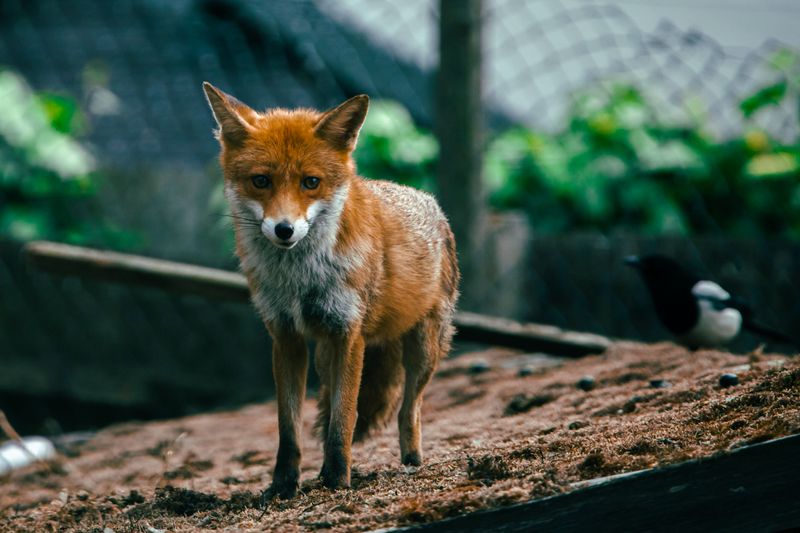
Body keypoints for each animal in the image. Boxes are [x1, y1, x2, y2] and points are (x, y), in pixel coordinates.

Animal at [202, 82, 459, 498]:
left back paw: (411, 460)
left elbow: (345, 418)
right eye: (261, 181)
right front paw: (284, 486)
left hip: (424, 350)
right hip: (324, 357)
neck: (299, 280)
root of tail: (427, 199)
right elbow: (288, 427)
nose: (284, 230)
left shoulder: (348, 334)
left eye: (311, 182)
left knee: (410, 410)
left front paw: (338, 479)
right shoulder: (286, 337)